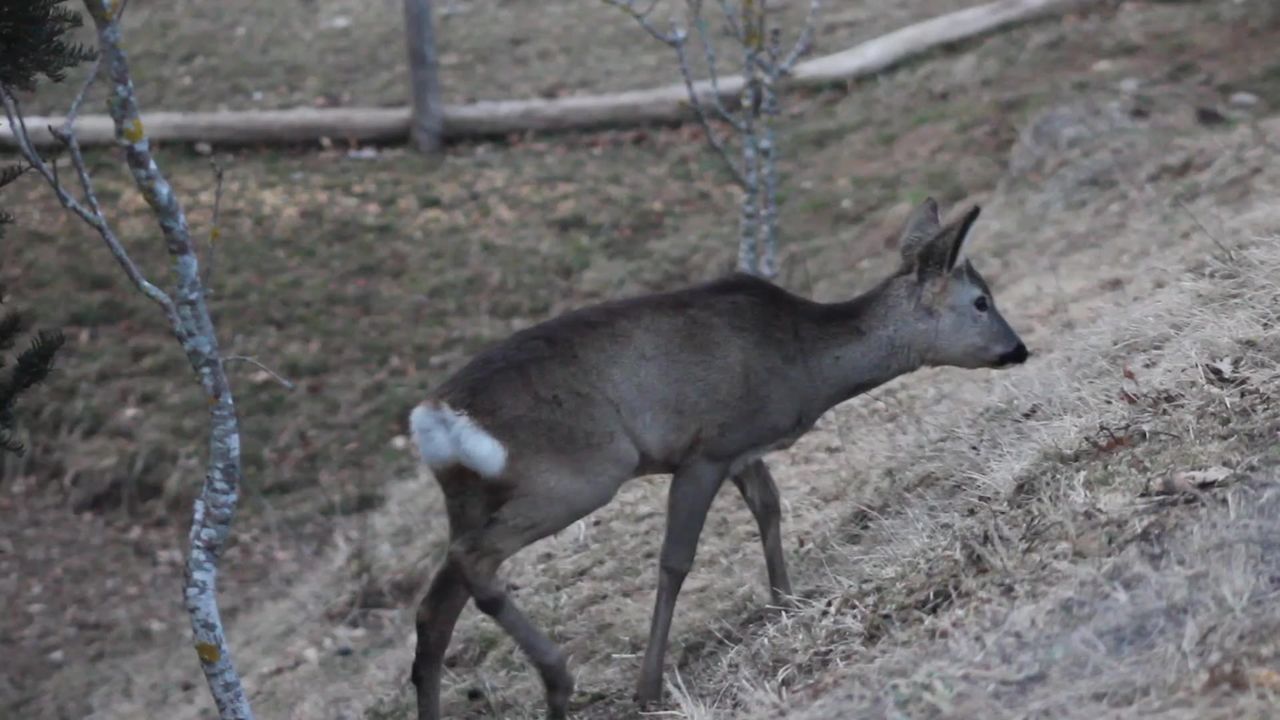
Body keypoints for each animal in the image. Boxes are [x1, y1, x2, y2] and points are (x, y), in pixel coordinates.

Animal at [406, 198, 1030, 719]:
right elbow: (677, 559)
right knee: (474, 561)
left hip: (472, 493)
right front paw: (649, 688)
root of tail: (435, 418)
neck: (805, 362)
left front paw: (785, 603)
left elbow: (769, 506)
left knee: (436, 605)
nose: (1018, 349)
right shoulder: (706, 447)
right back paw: (559, 679)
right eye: (982, 302)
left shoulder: (740, 447)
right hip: (578, 472)